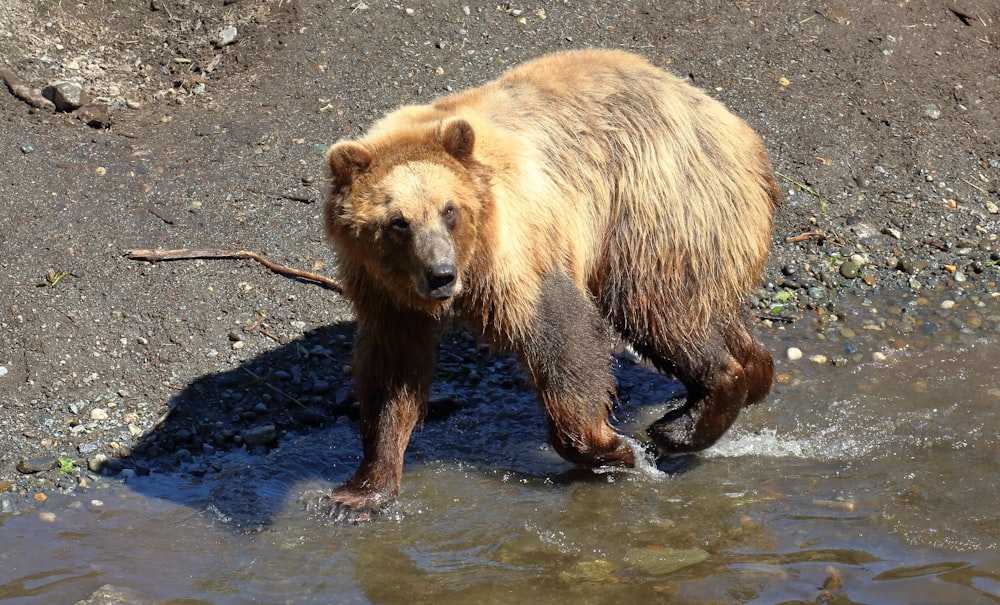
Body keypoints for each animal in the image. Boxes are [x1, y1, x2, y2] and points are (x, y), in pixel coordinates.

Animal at [324, 49, 776, 520]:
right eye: (398, 222)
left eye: (449, 209)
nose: (441, 274)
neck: (472, 261)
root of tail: (736, 128)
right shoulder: (385, 293)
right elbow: (392, 372)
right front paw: (360, 491)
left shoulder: (517, 250)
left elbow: (562, 340)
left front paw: (613, 449)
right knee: (711, 314)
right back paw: (751, 376)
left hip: (655, 205)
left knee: (654, 307)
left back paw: (681, 425)